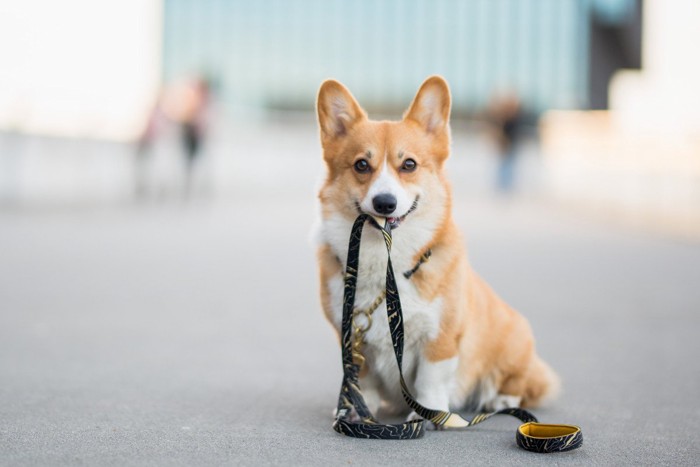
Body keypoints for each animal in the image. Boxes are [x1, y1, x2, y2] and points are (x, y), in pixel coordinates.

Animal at [316, 77, 556, 424]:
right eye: (361, 165)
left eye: (409, 164)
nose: (385, 203)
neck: (386, 264)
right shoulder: (352, 339)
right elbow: (364, 378)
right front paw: (359, 410)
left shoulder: (441, 338)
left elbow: (430, 379)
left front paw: (427, 415)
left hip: (514, 341)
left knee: (522, 382)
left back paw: (499, 399)